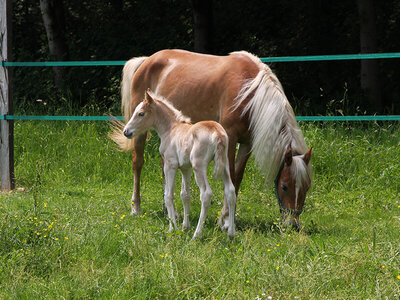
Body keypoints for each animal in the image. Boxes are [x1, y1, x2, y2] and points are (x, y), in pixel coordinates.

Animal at [120, 89, 236, 239]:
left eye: (141, 113)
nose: (126, 132)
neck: (171, 128)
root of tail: (217, 134)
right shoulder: (185, 168)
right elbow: (185, 195)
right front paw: (185, 227)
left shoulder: (170, 165)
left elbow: (168, 195)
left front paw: (172, 228)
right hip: (224, 165)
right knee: (230, 191)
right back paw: (231, 234)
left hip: (199, 166)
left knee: (206, 194)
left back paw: (197, 235)